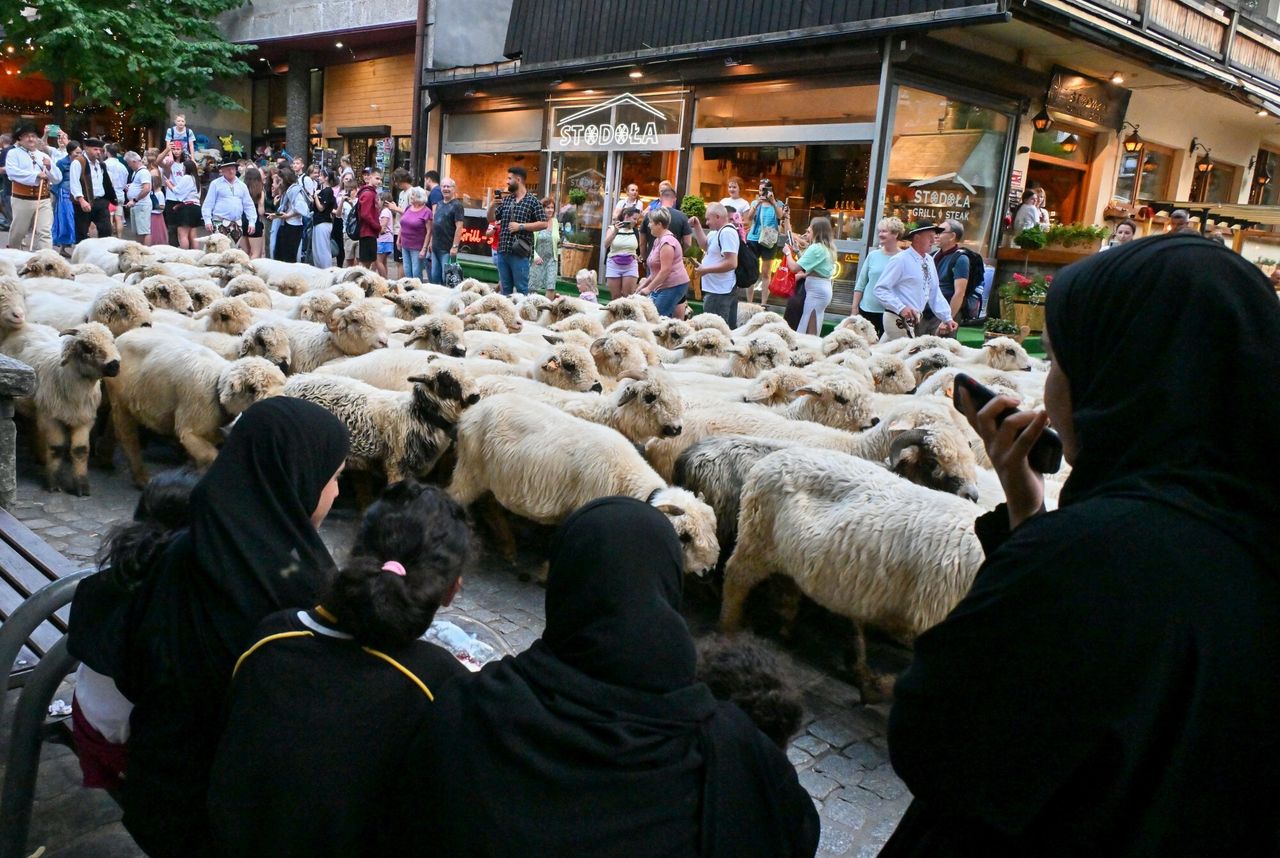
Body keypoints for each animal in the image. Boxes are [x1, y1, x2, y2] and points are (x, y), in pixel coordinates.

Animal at [0, 322, 120, 496]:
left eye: (112, 341)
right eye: (87, 348)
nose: (114, 365)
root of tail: (26, 325)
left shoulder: (84, 419)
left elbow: (80, 450)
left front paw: (82, 486)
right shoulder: (51, 418)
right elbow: (56, 449)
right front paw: (54, 483)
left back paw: (41, 457)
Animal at [105, 330, 288, 486]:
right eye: (252, 388)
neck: (217, 387)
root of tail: (120, 337)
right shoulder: (190, 426)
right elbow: (209, 454)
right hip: (121, 401)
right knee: (127, 436)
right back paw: (141, 477)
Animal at [721, 448, 977, 701]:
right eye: (933, 463)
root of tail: (774, 457)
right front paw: (875, 687)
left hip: (785, 552)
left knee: (788, 585)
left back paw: (788, 627)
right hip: (756, 537)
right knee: (735, 578)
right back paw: (729, 629)